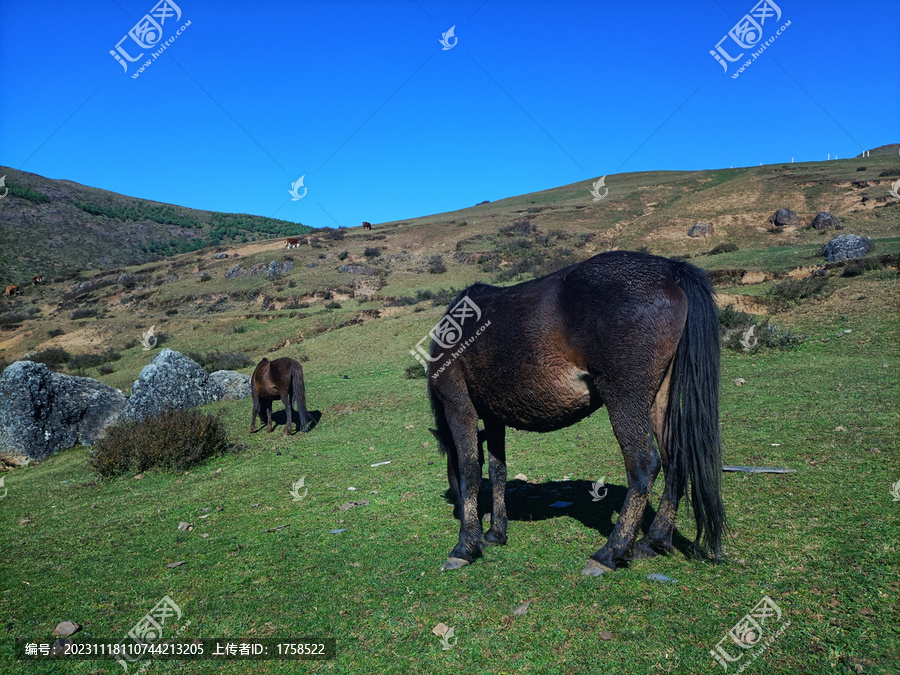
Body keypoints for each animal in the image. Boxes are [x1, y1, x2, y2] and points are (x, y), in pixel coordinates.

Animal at [426, 251, 728, 580]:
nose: (457, 510)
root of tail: (669, 269)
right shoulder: (494, 418)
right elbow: (497, 470)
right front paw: (496, 533)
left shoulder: (459, 407)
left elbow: (469, 470)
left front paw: (465, 547)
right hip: (659, 398)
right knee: (675, 460)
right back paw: (654, 540)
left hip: (626, 397)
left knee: (644, 464)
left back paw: (610, 552)